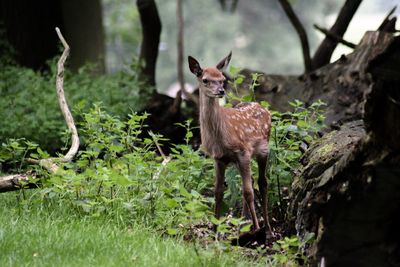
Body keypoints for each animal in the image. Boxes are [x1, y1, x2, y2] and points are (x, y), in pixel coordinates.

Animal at [189, 51, 274, 239]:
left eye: (222, 79)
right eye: (205, 79)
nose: (220, 91)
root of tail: (262, 107)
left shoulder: (243, 152)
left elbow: (249, 192)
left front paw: (257, 228)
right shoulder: (218, 158)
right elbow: (218, 192)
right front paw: (215, 231)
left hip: (263, 149)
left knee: (262, 183)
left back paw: (267, 229)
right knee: (249, 183)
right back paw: (242, 227)